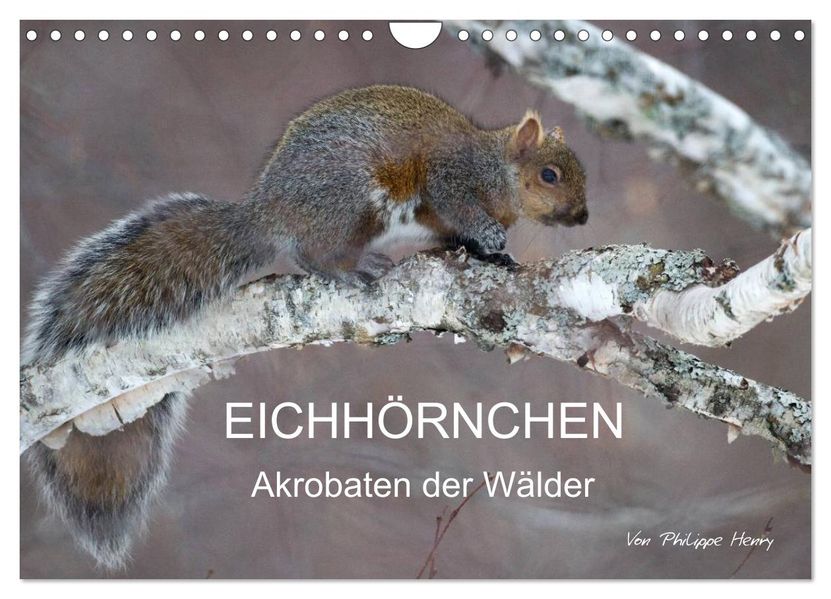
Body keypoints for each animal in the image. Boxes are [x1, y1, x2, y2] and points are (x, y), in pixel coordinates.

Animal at [23, 84, 587, 569]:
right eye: (549, 175)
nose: (583, 217)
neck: (498, 171)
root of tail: (267, 212)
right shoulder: (452, 178)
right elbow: (457, 206)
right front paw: (490, 237)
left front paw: (496, 255)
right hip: (349, 199)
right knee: (310, 254)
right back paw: (352, 268)